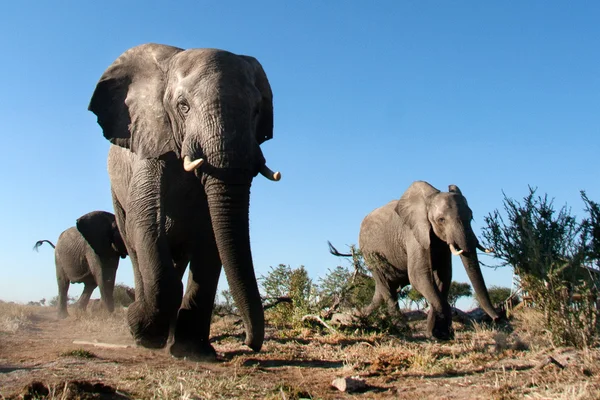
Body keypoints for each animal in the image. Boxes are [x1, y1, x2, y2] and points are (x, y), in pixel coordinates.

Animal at [88, 43, 280, 362]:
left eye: (256, 111)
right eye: (183, 106)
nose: (249, 344)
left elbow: (211, 237)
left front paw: (194, 351)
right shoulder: (151, 145)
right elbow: (146, 220)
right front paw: (140, 329)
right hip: (116, 193)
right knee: (135, 245)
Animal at [330, 181, 500, 340]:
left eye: (471, 217)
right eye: (441, 220)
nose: (497, 318)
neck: (429, 199)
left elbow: (443, 276)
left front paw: (437, 333)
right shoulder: (413, 233)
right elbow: (419, 275)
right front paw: (441, 334)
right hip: (369, 254)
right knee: (387, 288)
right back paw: (402, 328)